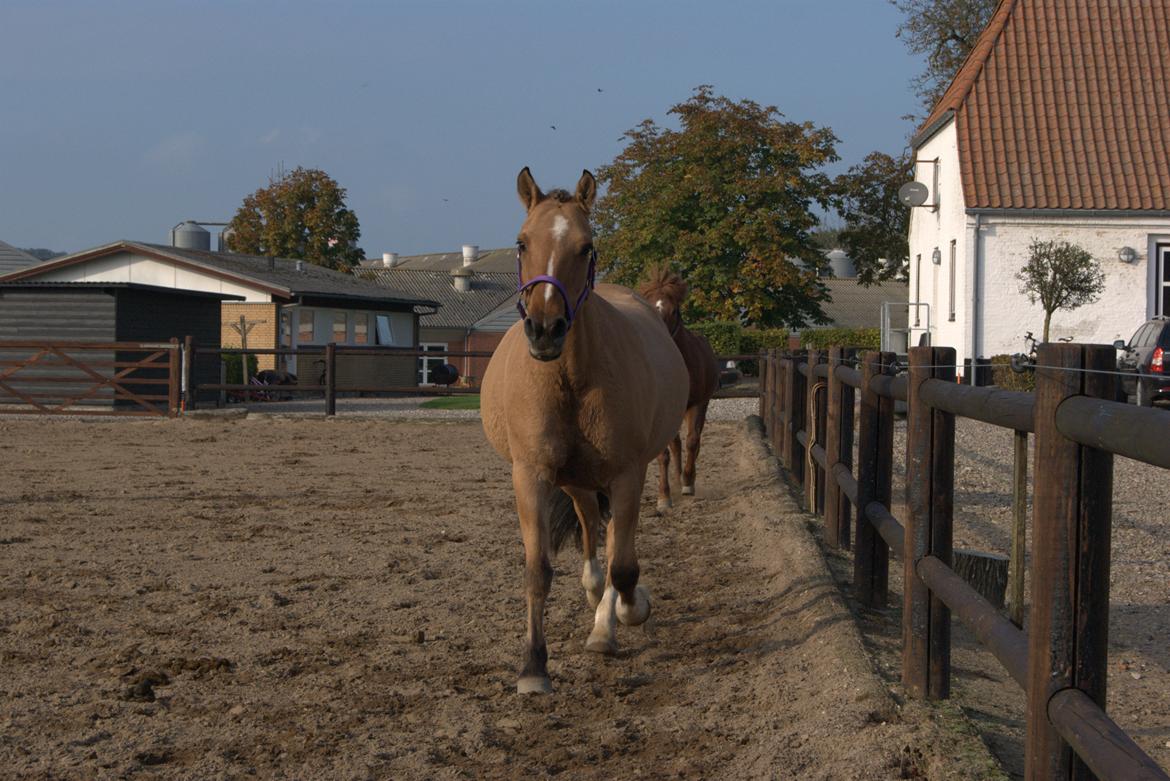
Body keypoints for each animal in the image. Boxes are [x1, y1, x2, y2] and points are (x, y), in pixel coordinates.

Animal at [479, 168, 687, 692]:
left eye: (586, 246)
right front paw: (533, 667)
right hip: (576, 483)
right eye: (522, 242)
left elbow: (626, 567)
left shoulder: (628, 475)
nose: (545, 328)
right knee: (594, 533)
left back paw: (605, 625)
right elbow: (538, 571)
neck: (571, 379)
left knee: (613, 545)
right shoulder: (531, 476)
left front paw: (631, 611)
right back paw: (595, 601)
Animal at [641, 268, 720, 512]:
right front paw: (664, 496)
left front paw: (688, 483)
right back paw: (676, 479)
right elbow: (665, 452)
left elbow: (693, 441)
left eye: (673, 310)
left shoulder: (697, 403)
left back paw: (685, 478)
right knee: (675, 445)